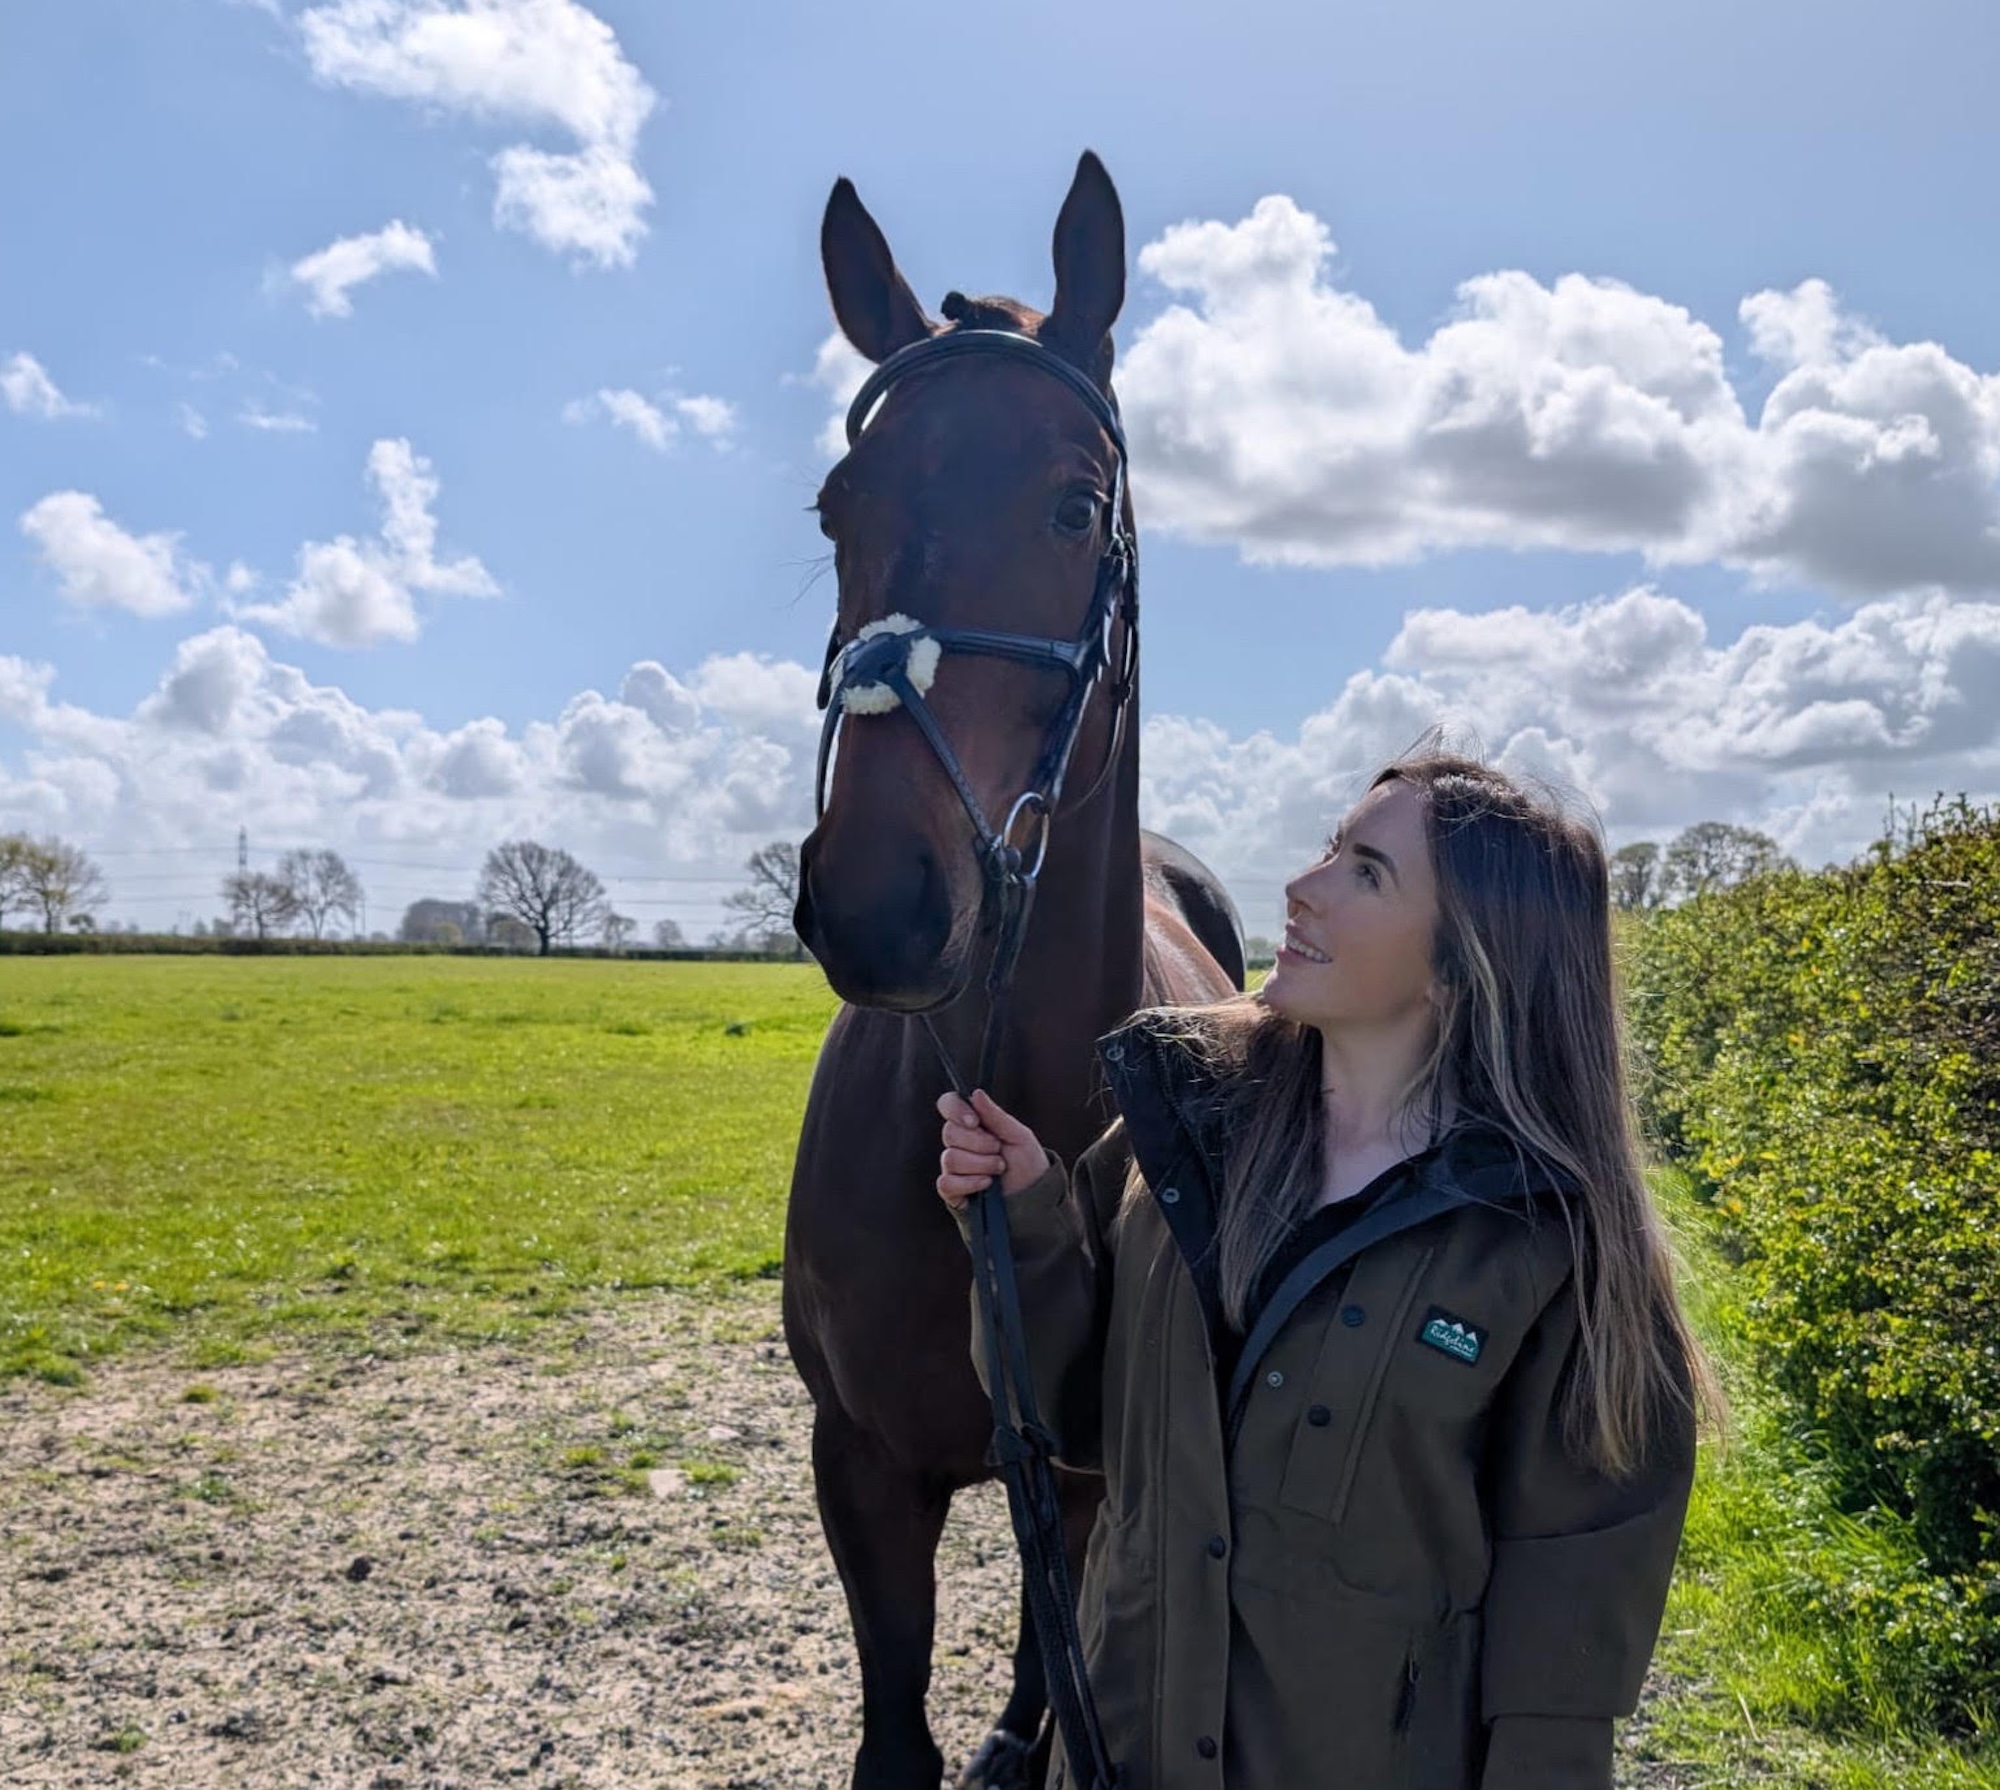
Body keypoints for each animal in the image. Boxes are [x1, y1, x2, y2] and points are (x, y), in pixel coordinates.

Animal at [785, 151, 1243, 1790]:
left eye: (1073, 501)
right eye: (837, 507)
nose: (878, 899)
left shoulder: (1095, 1454)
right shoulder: (860, 1468)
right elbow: (891, 1736)